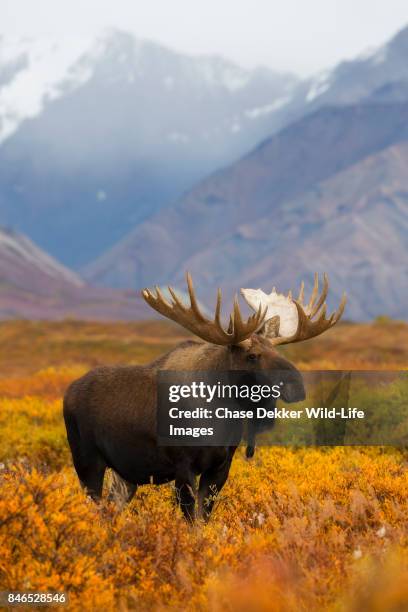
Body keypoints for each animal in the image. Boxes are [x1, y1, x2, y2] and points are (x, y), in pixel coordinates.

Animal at [63, 274, 344, 520]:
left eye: (276, 351)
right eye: (252, 356)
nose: (297, 386)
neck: (220, 416)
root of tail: (68, 392)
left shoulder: (220, 467)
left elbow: (204, 517)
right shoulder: (183, 466)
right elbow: (192, 522)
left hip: (125, 474)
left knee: (110, 510)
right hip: (87, 461)